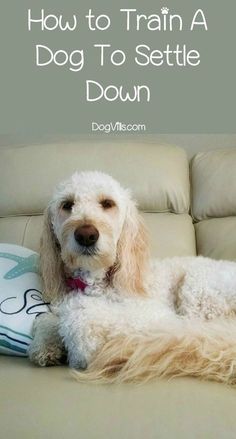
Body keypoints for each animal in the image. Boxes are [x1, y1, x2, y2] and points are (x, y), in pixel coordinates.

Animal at [29, 171, 236, 384]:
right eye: (67, 205)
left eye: (107, 203)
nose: (86, 235)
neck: (95, 282)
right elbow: (45, 318)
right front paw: (45, 346)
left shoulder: (153, 316)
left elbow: (79, 321)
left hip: (195, 289)